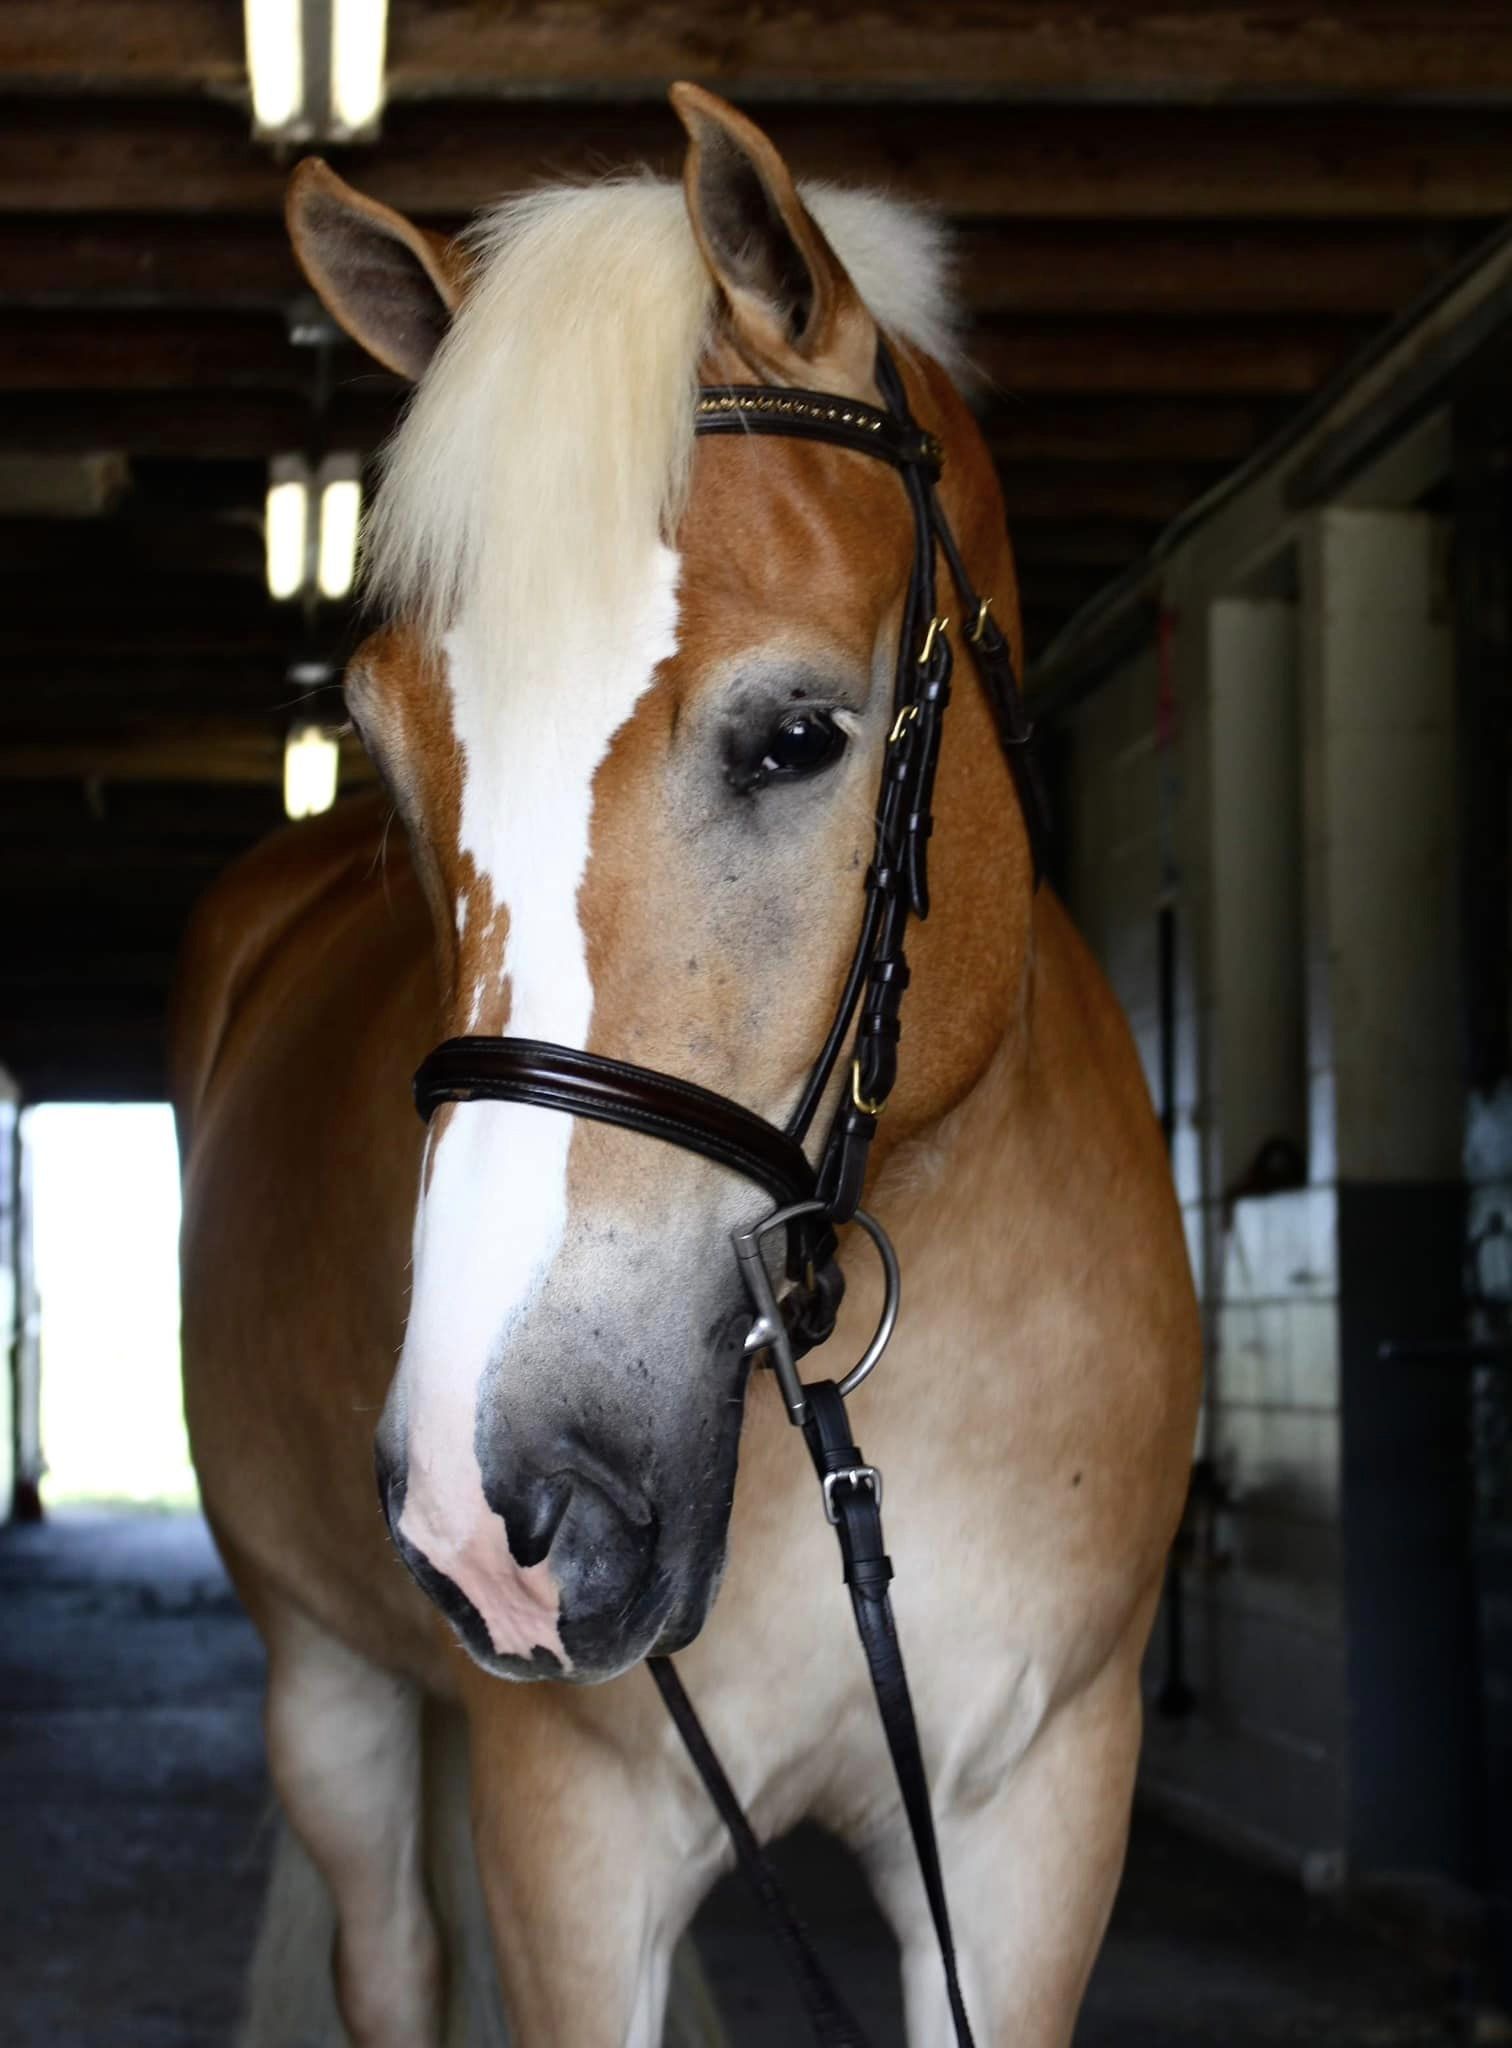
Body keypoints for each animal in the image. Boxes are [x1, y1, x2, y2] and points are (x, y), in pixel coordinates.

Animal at [172, 83, 1200, 2048]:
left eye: (798, 736)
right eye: (395, 765)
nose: (488, 1510)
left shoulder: (1035, 1824)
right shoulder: (571, 1838)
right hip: (329, 1684)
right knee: (390, 1947)